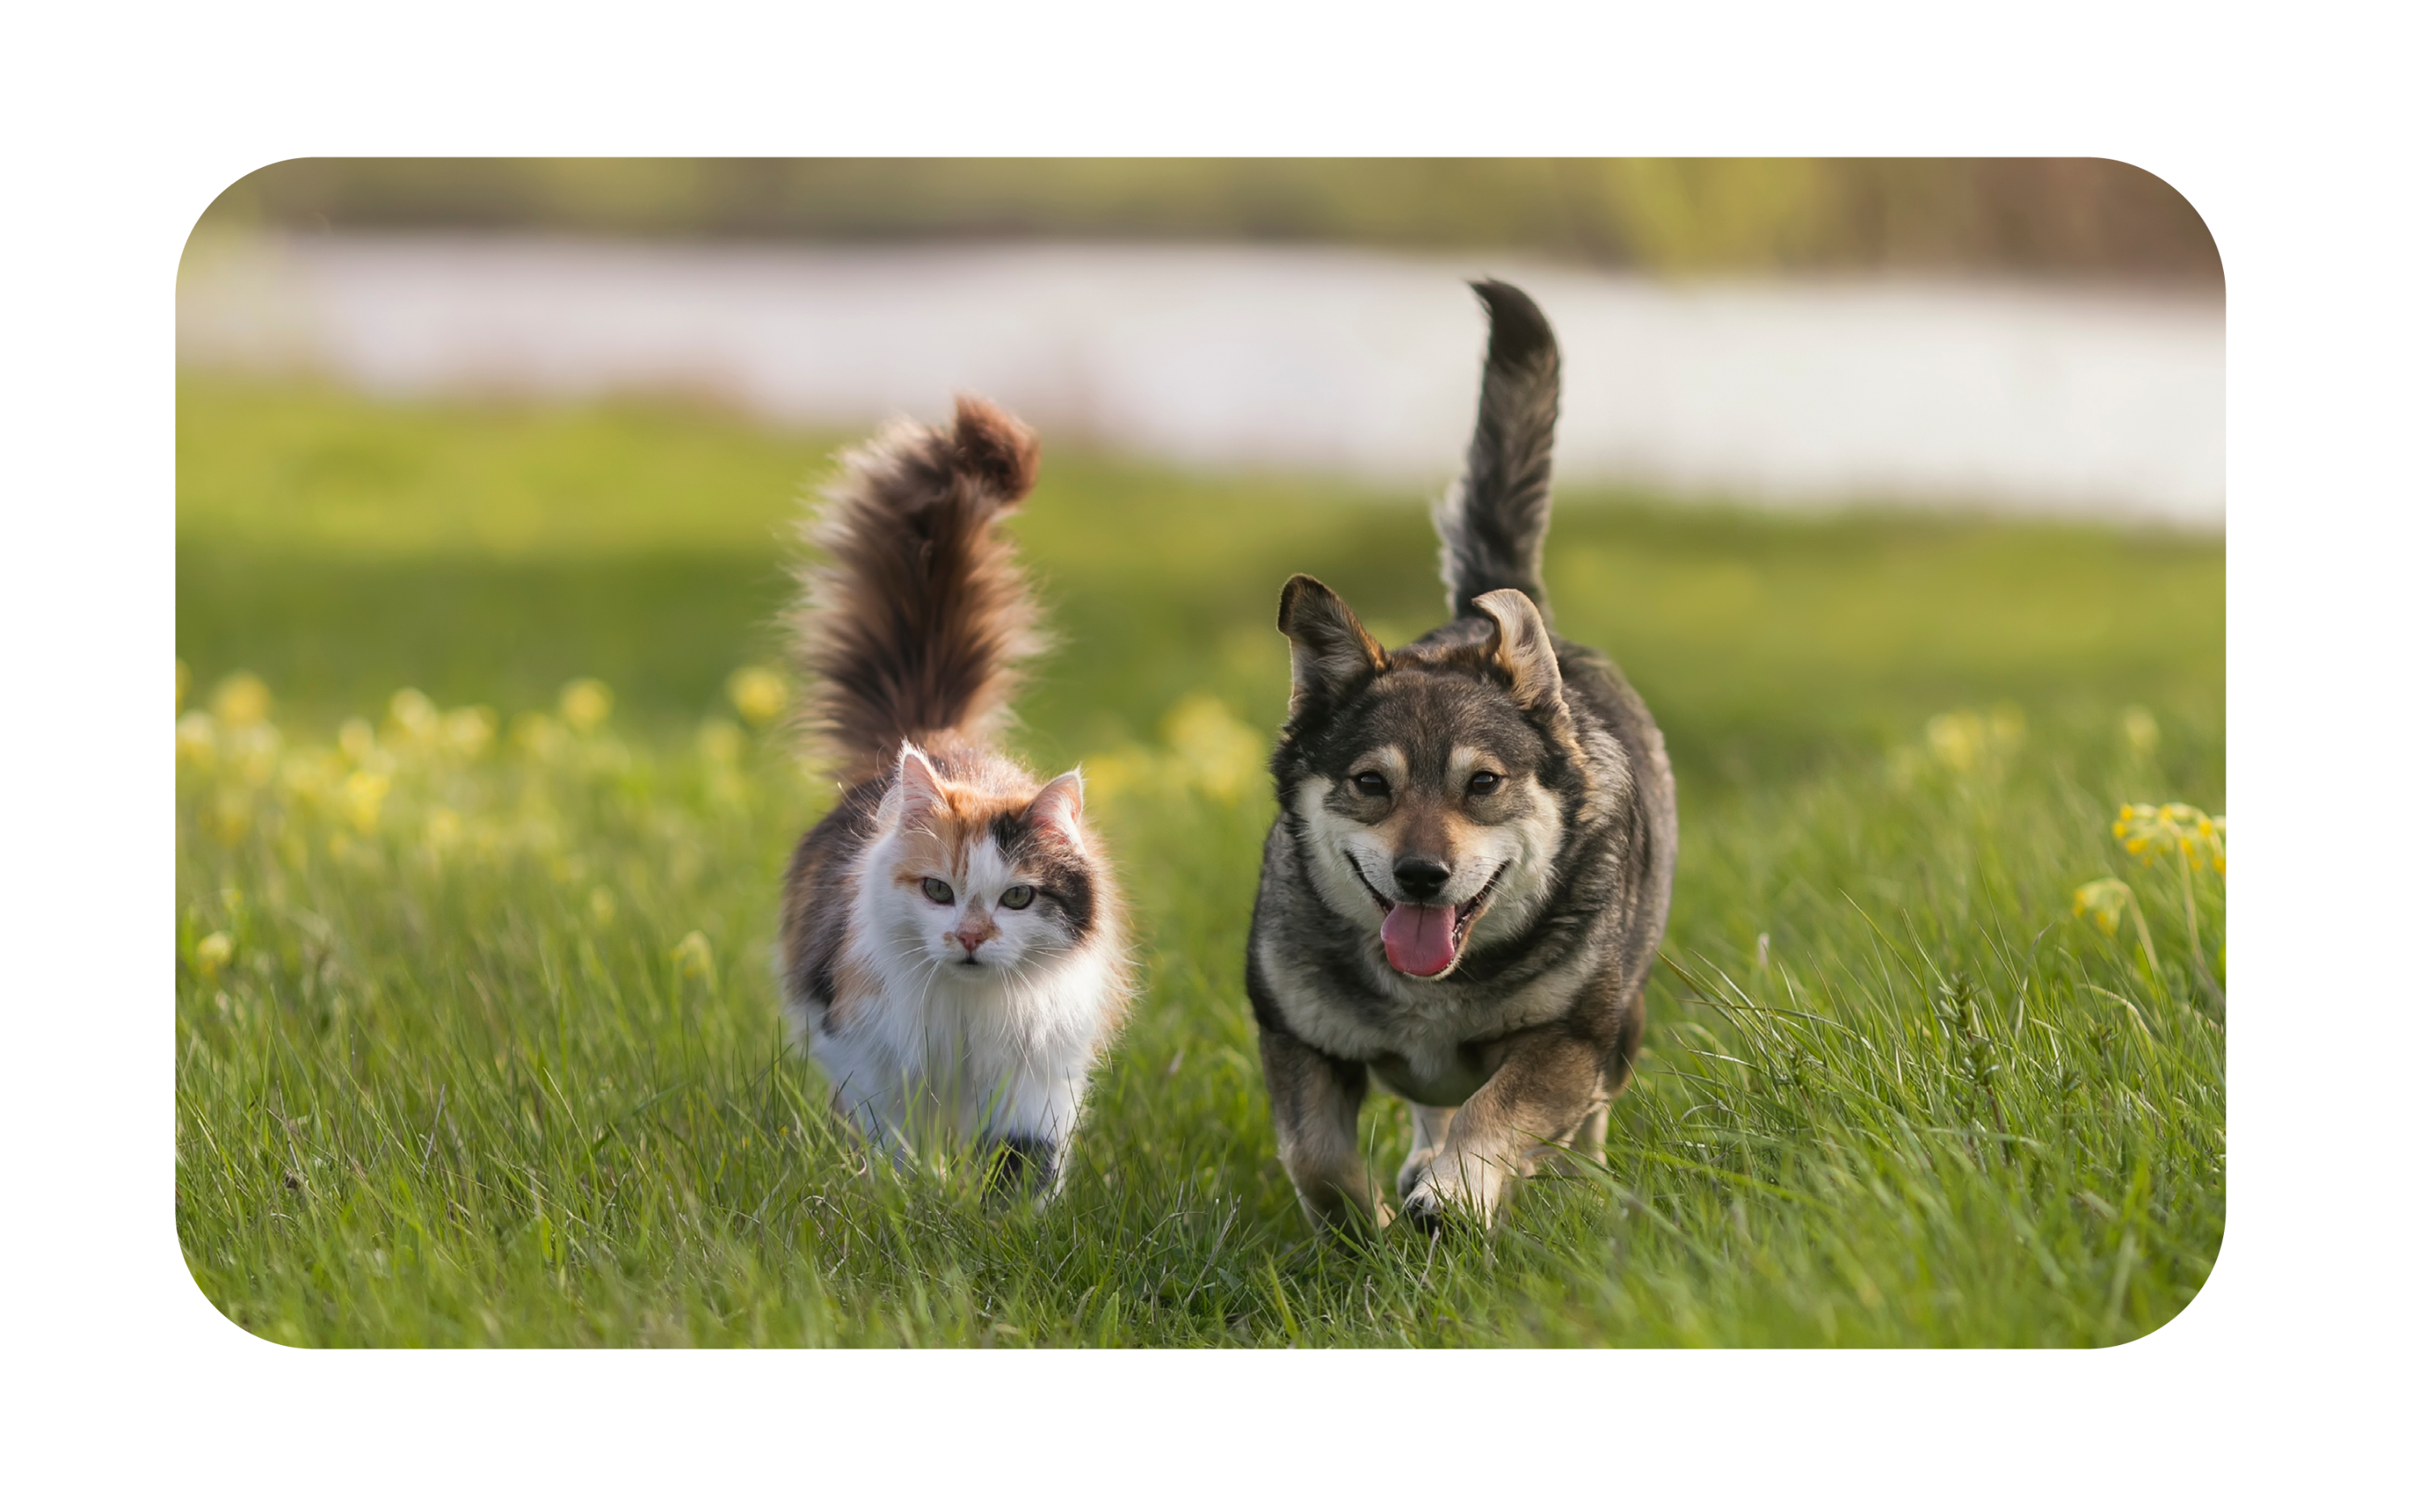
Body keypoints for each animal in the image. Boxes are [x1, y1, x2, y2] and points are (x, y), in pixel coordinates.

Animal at [774, 394, 1133, 1195]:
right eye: (938, 890)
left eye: (1019, 898)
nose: (970, 937)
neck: (968, 1014)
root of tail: (936, 734)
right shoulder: (864, 1052)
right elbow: (890, 1144)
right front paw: (906, 1197)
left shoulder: (1041, 1076)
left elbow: (1025, 1157)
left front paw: (1008, 1218)